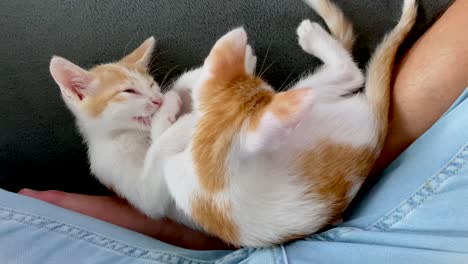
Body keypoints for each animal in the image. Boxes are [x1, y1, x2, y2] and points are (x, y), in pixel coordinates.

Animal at [49, 37, 183, 219]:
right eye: (129, 91)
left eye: (151, 84)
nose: (158, 100)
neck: (126, 135)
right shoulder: (113, 170)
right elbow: (151, 196)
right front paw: (170, 107)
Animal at [147, 0, 416, 248]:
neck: (212, 154)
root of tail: (377, 127)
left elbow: (157, 144)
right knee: (350, 75)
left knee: (350, 73)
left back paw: (312, 35)